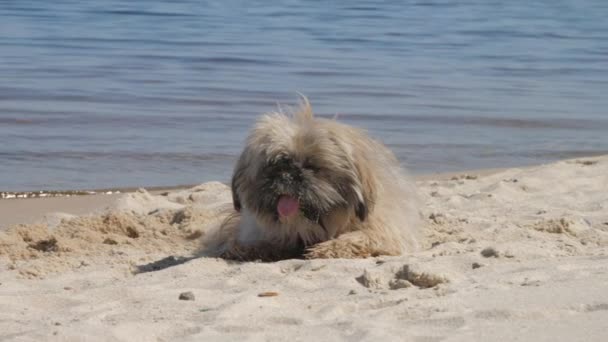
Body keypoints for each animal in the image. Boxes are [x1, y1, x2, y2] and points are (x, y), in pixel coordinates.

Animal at [207, 97, 420, 260]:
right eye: (275, 165)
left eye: (313, 167)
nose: (288, 175)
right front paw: (250, 248)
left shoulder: (388, 232)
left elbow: (362, 237)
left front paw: (329, 248)